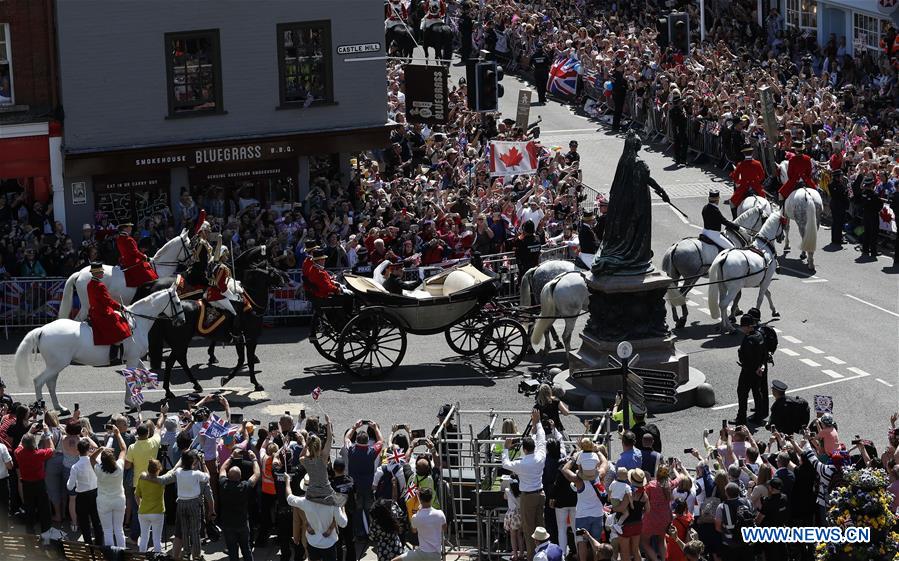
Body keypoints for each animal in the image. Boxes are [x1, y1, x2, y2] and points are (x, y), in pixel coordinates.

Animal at [15, 282, 185, 414]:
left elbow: (143, 372)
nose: (182, 321)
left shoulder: (134, 358)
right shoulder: (132, 358)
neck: (137, 322)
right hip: (57, 364)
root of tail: (42, 330)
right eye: (177, 302)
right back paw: (41, 408)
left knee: (51, 383)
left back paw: (60, 408)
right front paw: (131, 402)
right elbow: (129, 380)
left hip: (55, 365)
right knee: (39, 381)